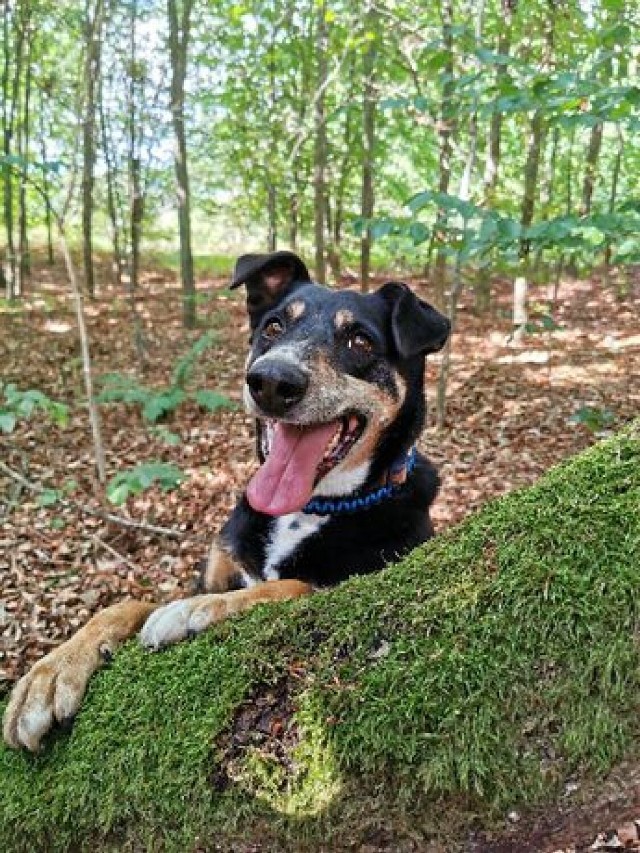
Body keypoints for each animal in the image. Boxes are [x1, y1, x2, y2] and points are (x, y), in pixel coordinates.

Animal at [2, 250, 450, 748]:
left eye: (360, 340)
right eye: (273, 327)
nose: (272, 381)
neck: (309, 509)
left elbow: (289, 587)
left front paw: (196, 611)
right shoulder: (212, 572)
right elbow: (126, 605)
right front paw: (49, 672)